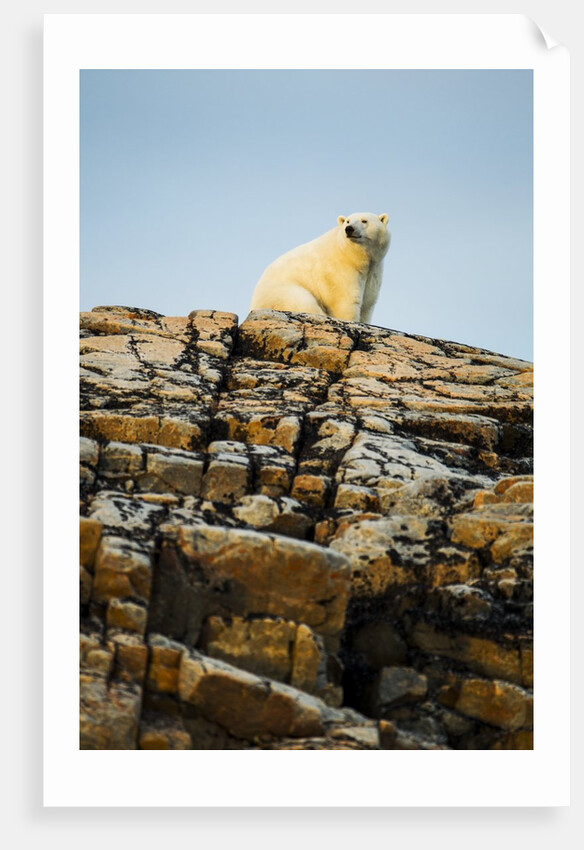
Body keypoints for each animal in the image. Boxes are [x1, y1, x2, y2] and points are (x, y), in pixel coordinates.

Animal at [250, 212, 390, 324]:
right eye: (348, 220)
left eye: (364, 220)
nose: (349, 229)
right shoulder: (340, 270)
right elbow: (347, 301)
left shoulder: (373, 271)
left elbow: (368, 302)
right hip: (283, 293)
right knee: (304, 302)